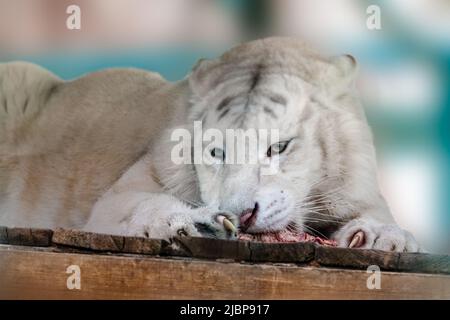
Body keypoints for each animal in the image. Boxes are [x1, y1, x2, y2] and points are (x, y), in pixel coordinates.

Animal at [0, 37, 422, 251]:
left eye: (280, 147)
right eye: (216, 151)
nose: (242, 214)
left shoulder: (360, 192)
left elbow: (378, 217)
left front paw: (383, 236)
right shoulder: (120, 195)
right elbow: (142, 205)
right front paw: (196, 223)